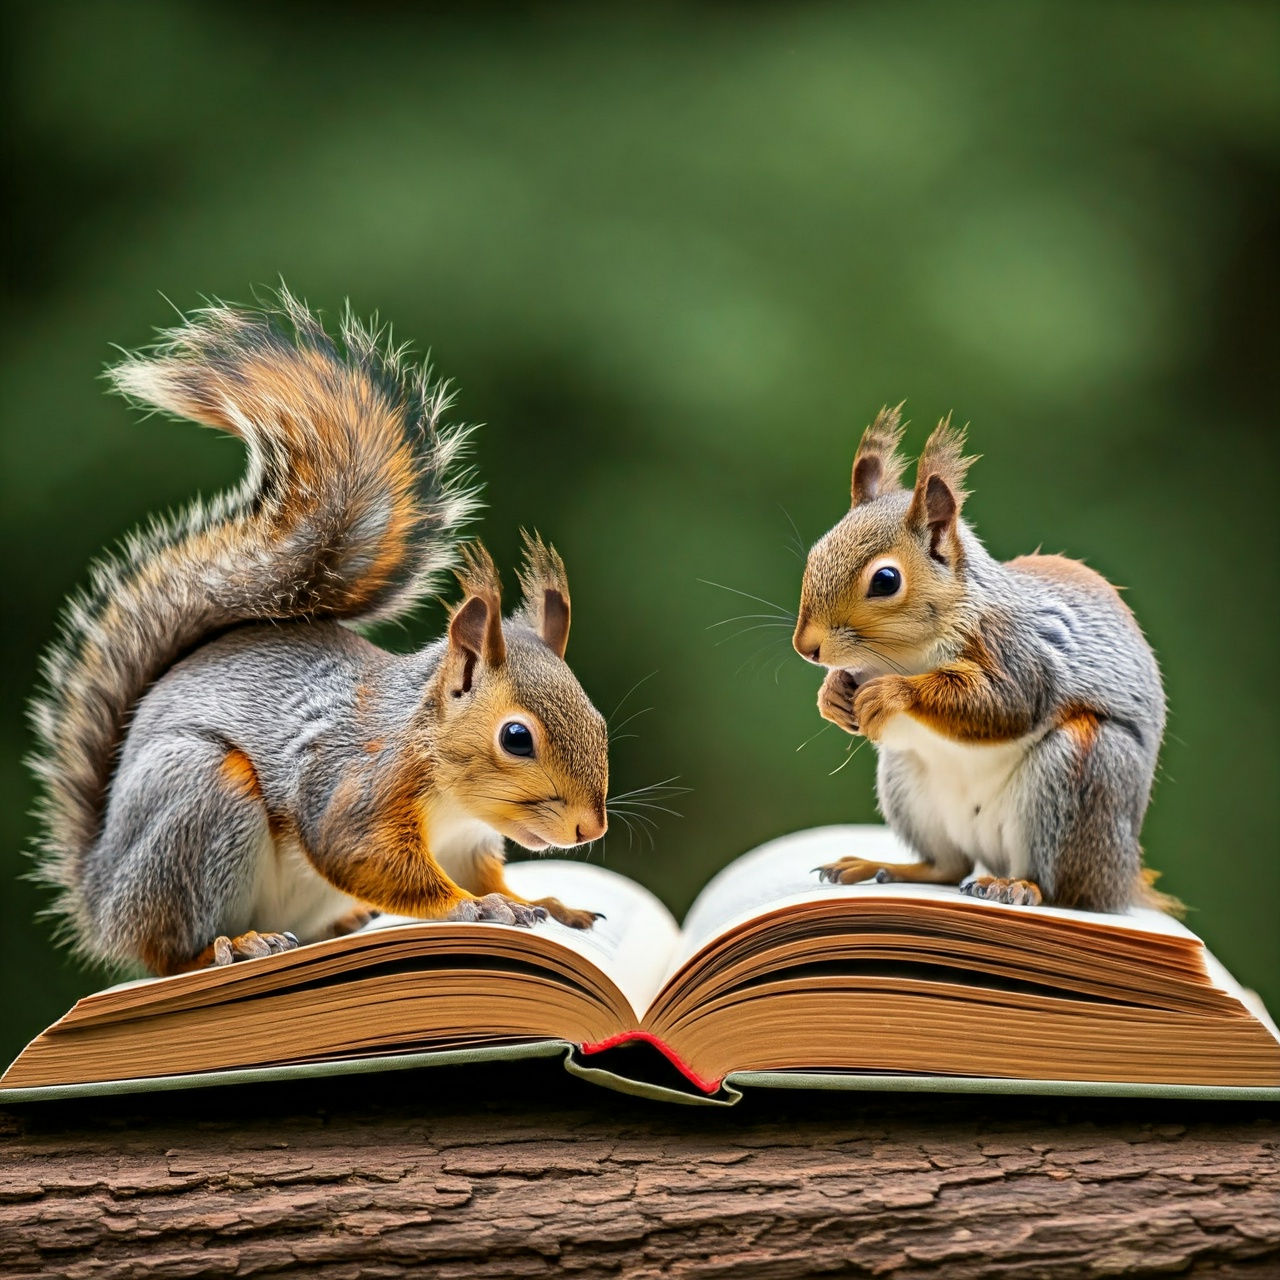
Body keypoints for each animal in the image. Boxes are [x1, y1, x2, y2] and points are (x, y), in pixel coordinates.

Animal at [28, 290, 609, 977]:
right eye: (516, 738)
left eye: (600, 721)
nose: (591, 830)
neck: (446, 786)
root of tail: (101, 898)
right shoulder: (355, 788)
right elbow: (361, 855)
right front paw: (475, 909)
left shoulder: (466, 843)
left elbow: (486, 874)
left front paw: (542, 901)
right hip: (201, 804)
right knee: (170, 951)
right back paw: (231, 946)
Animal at [792, 405, 1173, 915]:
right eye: (816, 553)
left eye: (886, 580)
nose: (806, 647)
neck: (903, 655)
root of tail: (1120, 878)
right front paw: (832, 695)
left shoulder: (1017, 652)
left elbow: (1002, 704)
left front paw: (891, 693)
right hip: (906, 782)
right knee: (948, 866)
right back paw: (881, 866)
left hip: (1083, 774)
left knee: (1062, 890)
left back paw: (1017, 886)